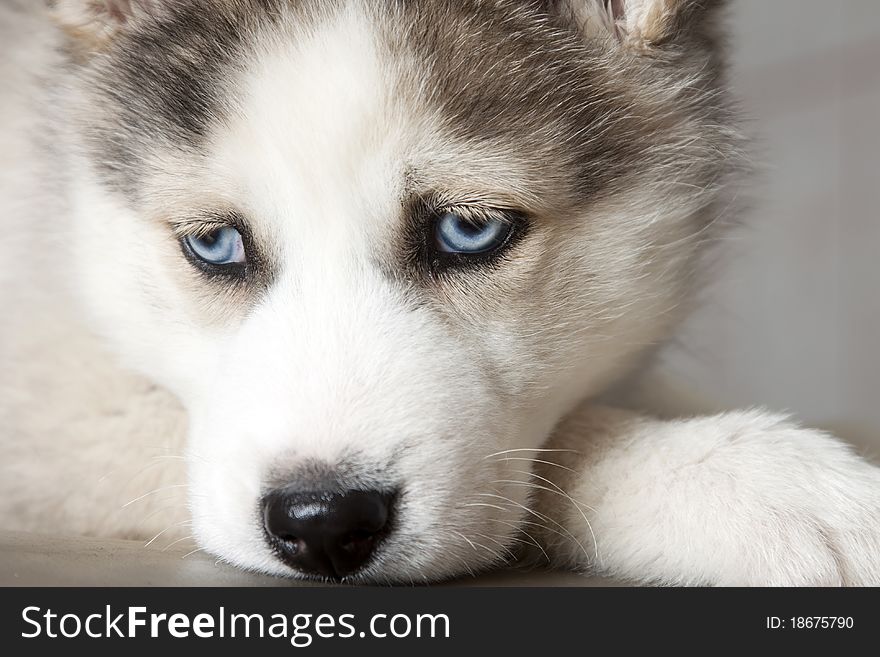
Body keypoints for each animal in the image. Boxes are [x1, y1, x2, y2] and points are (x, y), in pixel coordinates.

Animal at [1, 0, 880, 584]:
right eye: (214, 243)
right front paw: (763, 483)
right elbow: (568, 436)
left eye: (469, 230)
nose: (324, 523)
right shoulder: (54, 405)